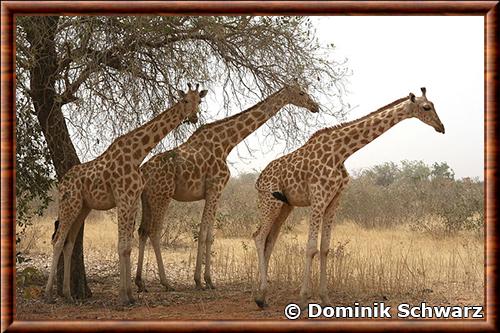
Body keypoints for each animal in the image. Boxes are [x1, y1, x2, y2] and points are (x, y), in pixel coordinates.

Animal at [43, 83, 207, 304]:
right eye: (185, 100)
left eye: (200, 101)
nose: (194, 117)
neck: (138, 154)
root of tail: (61, 183)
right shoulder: (123, 198)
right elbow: (122, 245)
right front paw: (123, 296)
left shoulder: (133, 200)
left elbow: (128, 246)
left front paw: (130, 295)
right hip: (70, 204)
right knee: (58, 240)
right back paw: (48, 294)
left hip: (83, 208)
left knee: (69, 243)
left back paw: (68, 295)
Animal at [135, 81, 318, 290]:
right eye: (301, 92)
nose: (315, 106)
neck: (227, 143)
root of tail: (144, 171)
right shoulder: (215, 189)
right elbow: (204, 233)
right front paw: (202, 281)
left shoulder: (213, 192)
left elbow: (206, 233)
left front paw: (204, 280)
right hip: (162, 195)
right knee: (154, 231)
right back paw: (165, 283)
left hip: (146, 198)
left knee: (142, 230)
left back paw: (140, 282)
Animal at [254, 87, 446, 308]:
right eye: (426, 107)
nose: (441, 127)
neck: (341, 152)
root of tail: (258, 180)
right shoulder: (318, 197)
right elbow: (311, 247)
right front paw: (303, 298)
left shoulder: (334, 200)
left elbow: (325, 248)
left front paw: (325, 298)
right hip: (270, 202)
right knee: (258, 236)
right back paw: (261, 294)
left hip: (286, 206)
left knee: (269, 240)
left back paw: (262, 297)